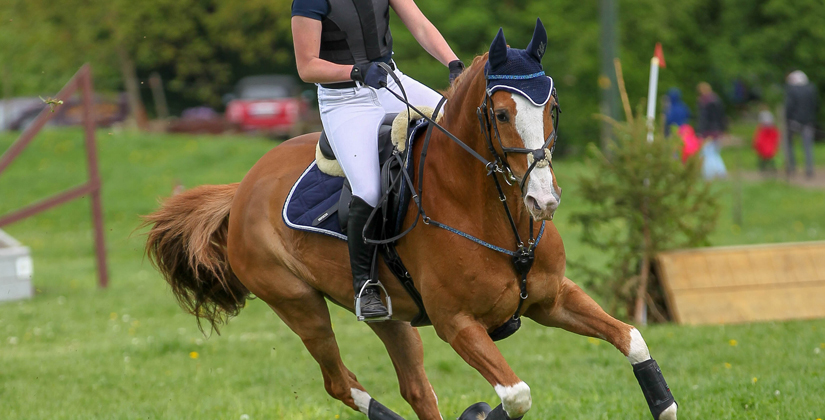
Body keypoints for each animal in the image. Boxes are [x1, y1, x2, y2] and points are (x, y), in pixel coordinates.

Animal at [145, 22, 676, 420]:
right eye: (502, 114)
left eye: (552, 108)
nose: (543, 200)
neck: (496, 217)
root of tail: (241, 189)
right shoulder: (457, 324)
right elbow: (516, 395)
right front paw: (478, 412)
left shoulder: (553, 300)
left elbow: (633, 341)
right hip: (297, 303)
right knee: (340, 382)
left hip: (391, 317)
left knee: (415, 388)